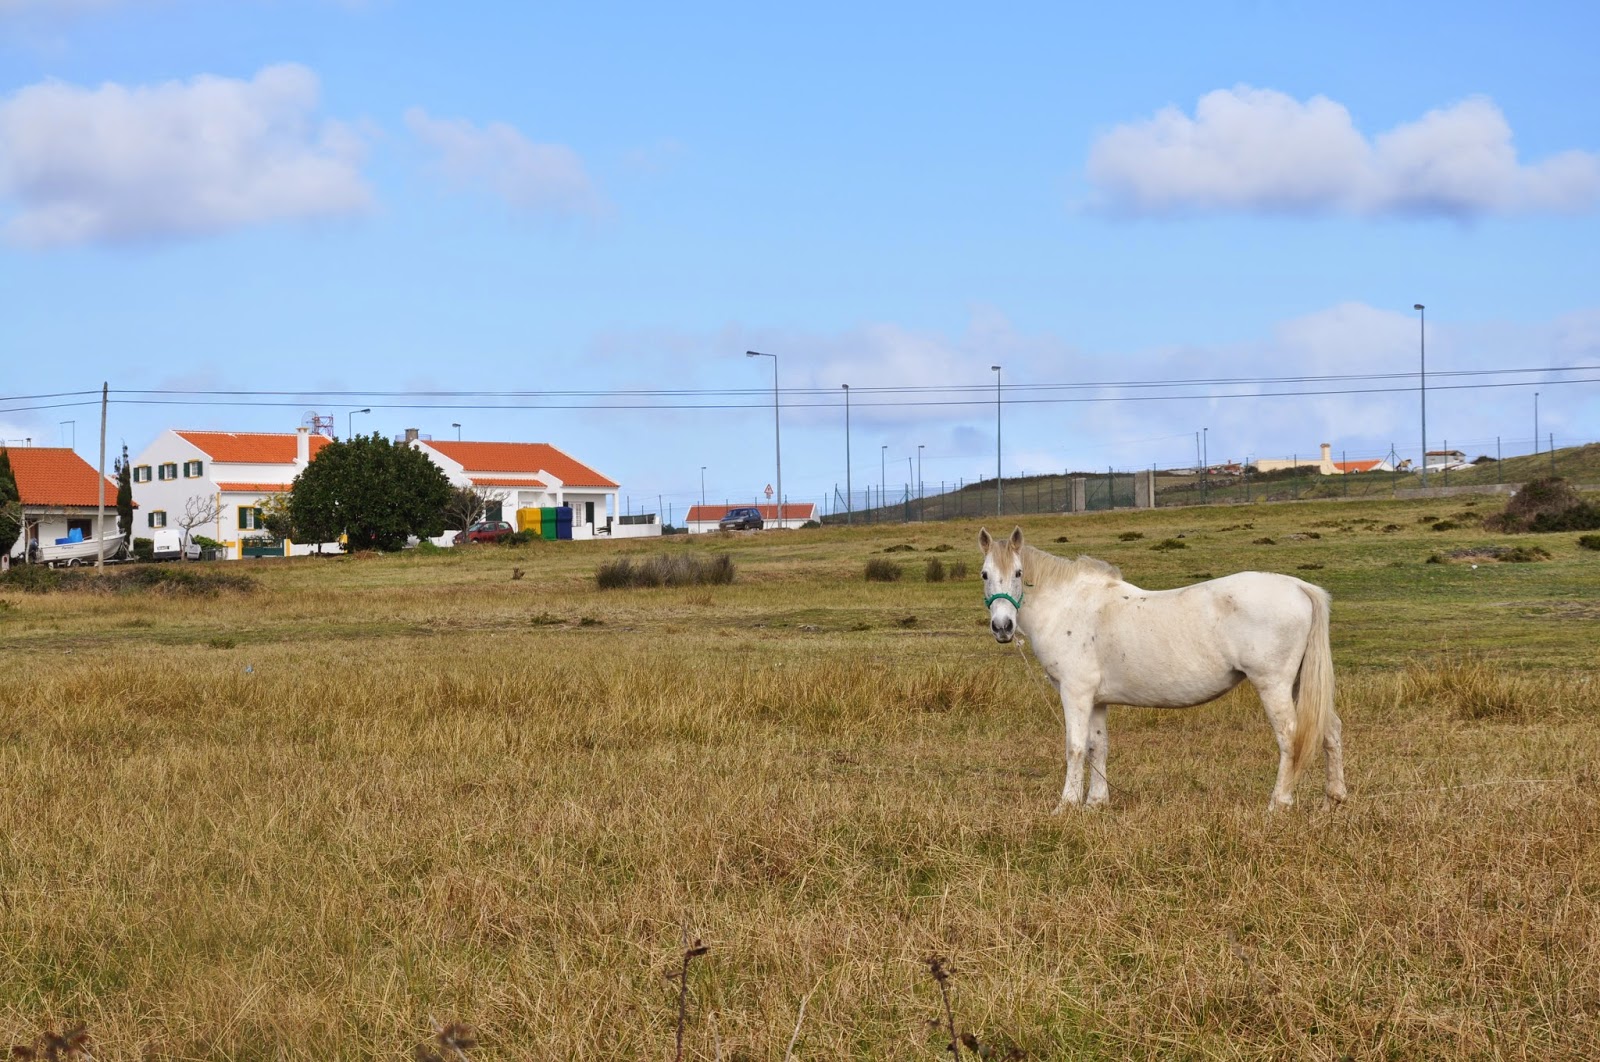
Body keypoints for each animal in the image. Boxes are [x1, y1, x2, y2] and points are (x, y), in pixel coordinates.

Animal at [978, 526, 1346, 811]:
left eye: (1019, 573)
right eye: (984, 574)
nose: (1002, 626)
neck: (1069, 605)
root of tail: (1299, 587)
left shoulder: (1075, 693)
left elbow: (1076, 746)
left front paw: (1066, 805)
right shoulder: (1097, 700)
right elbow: (1098, 746)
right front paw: (1096, 802)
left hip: (1274, 685)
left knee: (1290, 736)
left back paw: (1278, 803)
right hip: (1299, 683)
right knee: (1330, 730)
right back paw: (1334, 800)